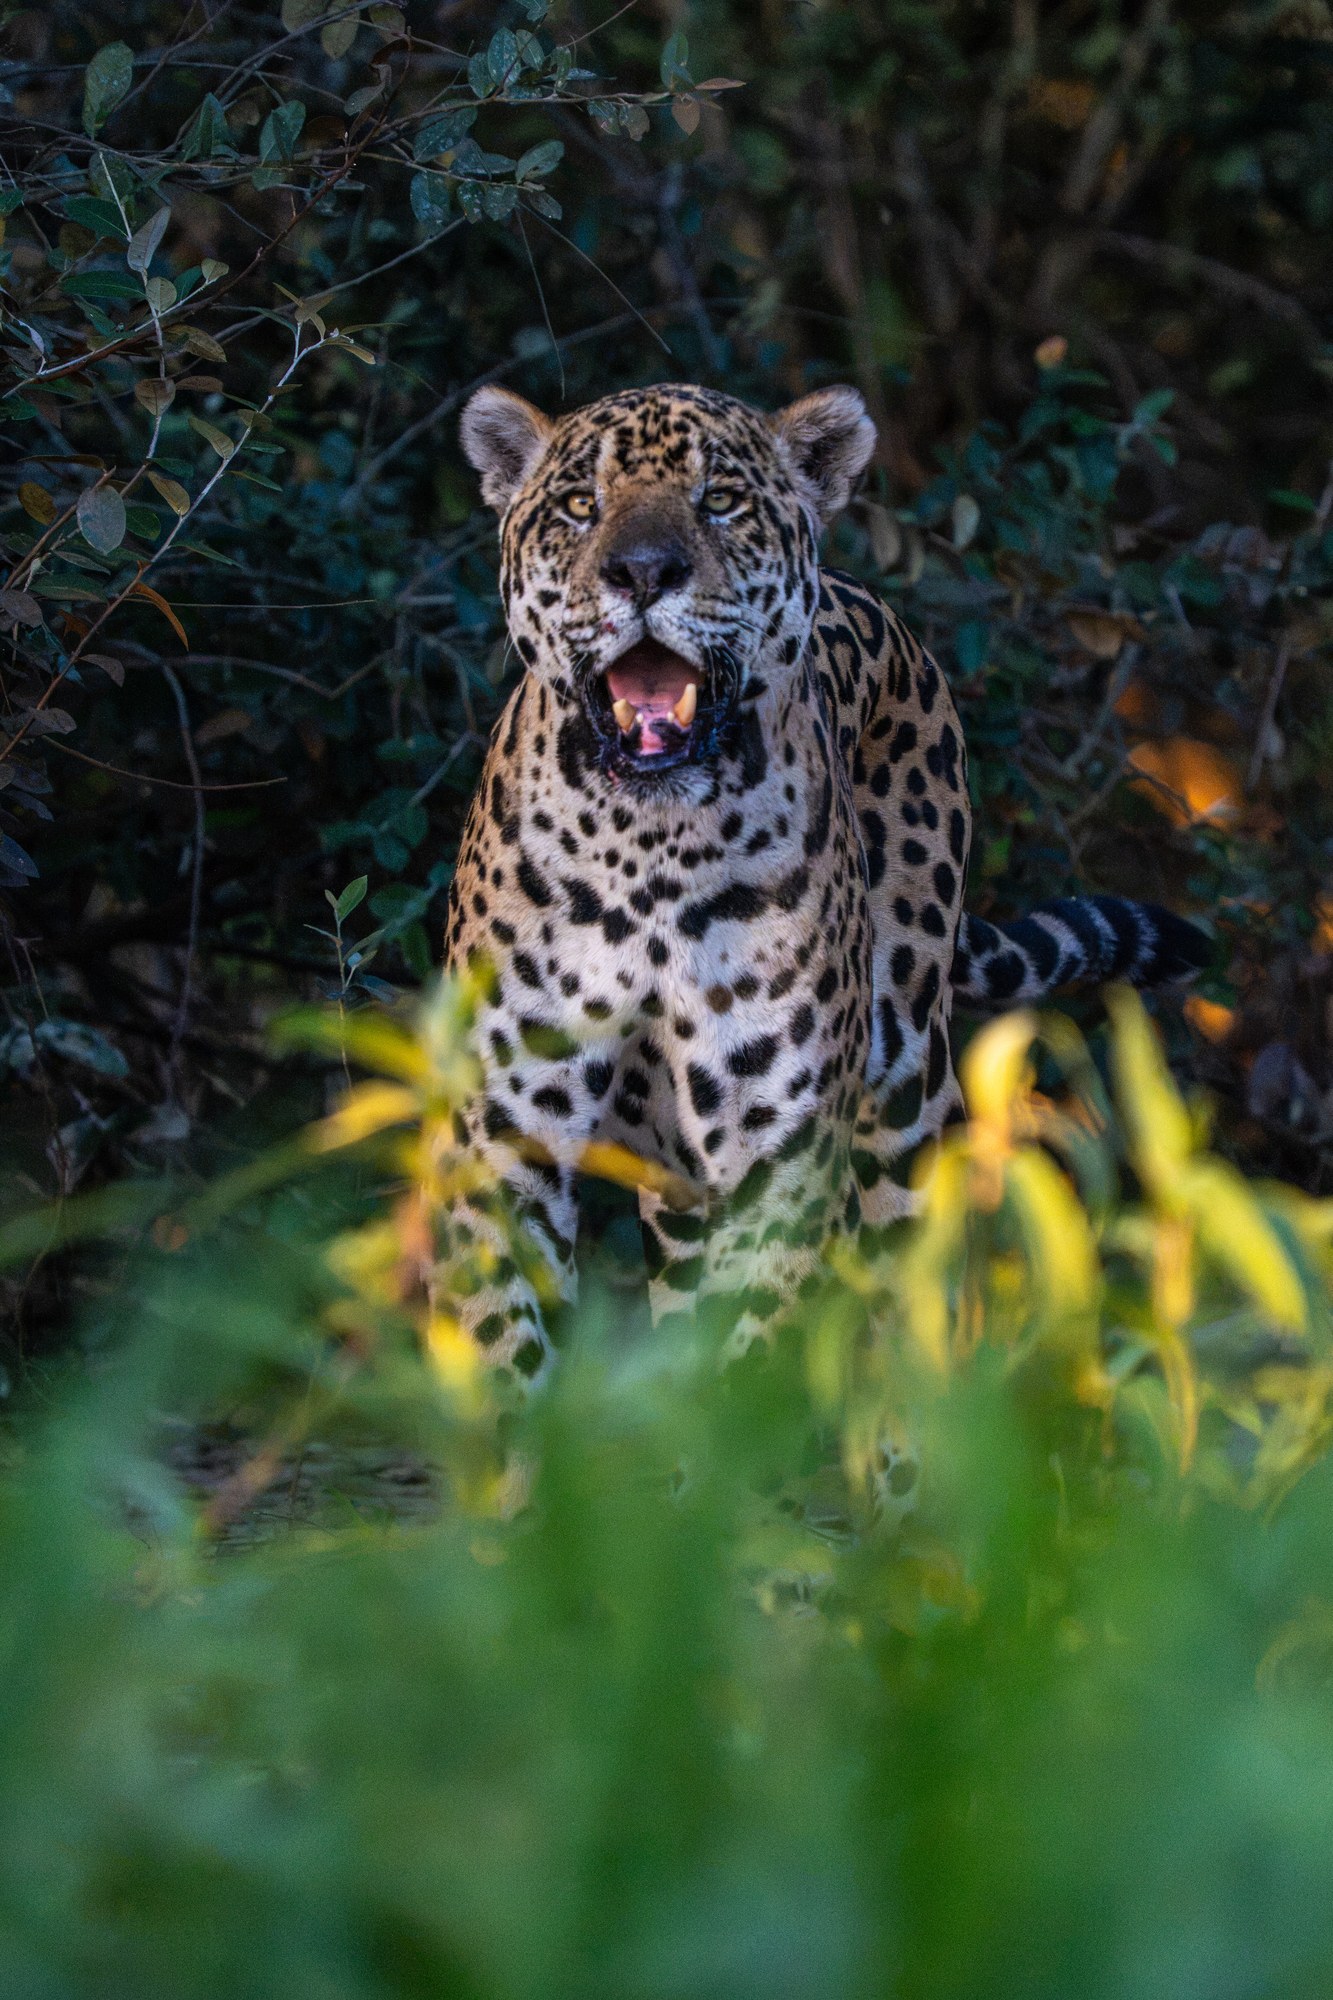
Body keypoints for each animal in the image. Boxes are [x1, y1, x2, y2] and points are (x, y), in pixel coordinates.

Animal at [442, 380, 1208, 1384]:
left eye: (719, 500)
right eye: (579, 505)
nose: (641, 574)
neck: (644, 849)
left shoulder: (780, 1150)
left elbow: (748, 1356)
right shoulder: (498, 1135)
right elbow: (503, 1352)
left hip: (907, 1099)